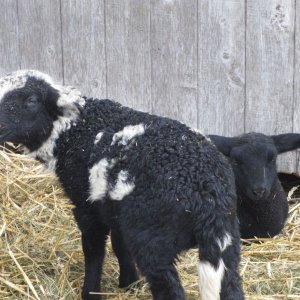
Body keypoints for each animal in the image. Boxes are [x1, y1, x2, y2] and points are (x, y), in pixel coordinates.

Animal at [0, 70, 244, 300]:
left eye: (31, 100)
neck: (72, 132)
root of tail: (208, 193)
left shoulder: (87, 206)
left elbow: (93, 251)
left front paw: (91, 292)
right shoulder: (116, 209)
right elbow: (119, 245)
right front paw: (129, 282)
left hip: (153, 239)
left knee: (170, 291)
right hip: (228, 239)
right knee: (232, 286)